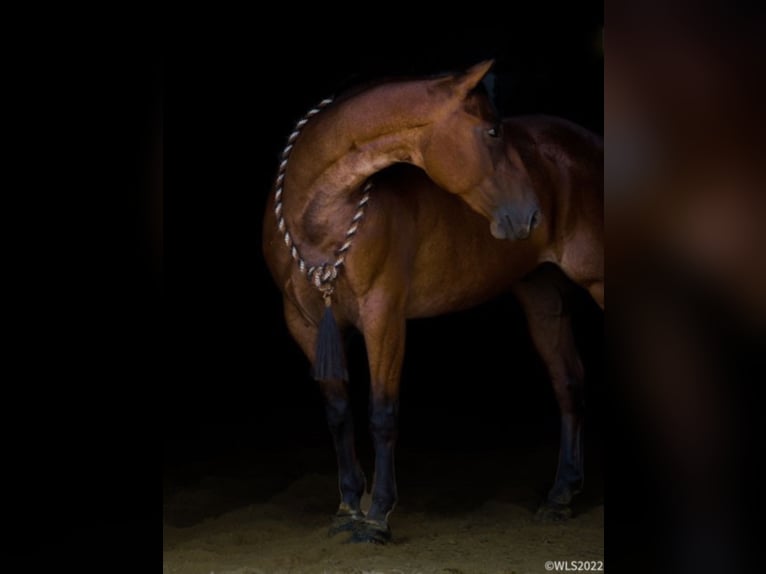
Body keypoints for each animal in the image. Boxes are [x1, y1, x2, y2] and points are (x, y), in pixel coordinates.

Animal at [264, 62, 608, 544]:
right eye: (493, 131)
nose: (530, 216)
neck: (321, 214)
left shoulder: (383, 315)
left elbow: (382, 412)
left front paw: (377, 516)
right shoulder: (304, 322)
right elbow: (338, 412)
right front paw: (348, 505)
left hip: (596, 279)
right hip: (541, 294)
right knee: (568, 383)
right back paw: (559, 496)